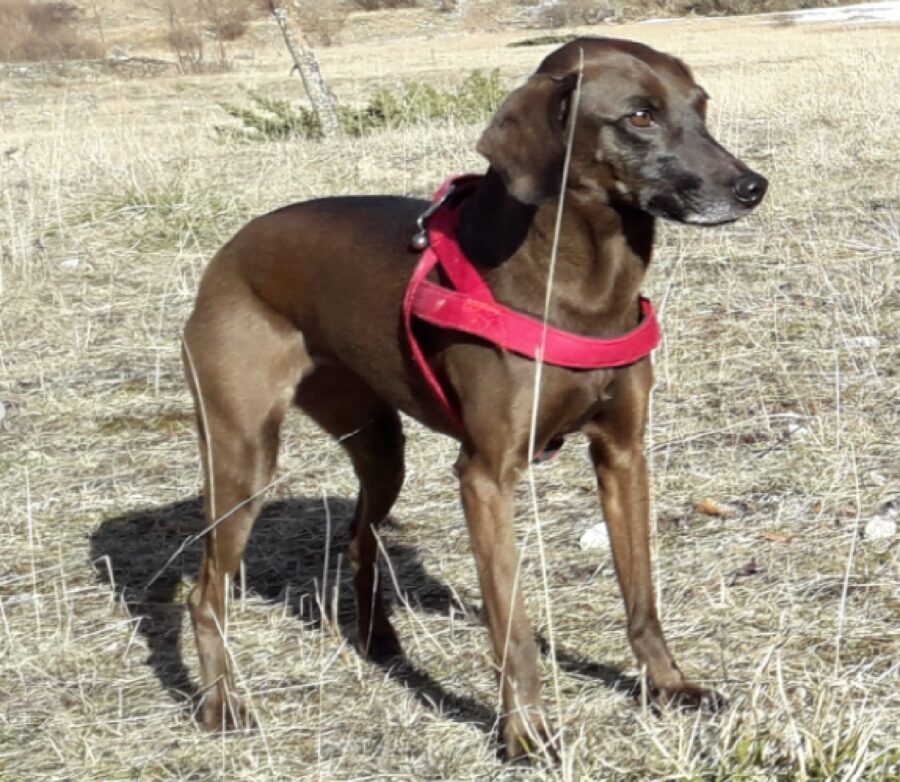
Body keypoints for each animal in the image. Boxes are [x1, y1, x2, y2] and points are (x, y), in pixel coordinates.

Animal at [181, 36, 768, 760]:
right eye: (638, 115)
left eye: (700, 105)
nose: (752, 186)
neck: (578, 281)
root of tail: (229, 251)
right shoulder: (486, 476)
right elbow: (512, 626)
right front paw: (527, 733)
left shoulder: (624, 454)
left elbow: (641, 596)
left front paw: (668, 686)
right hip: (242, 460)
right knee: (205, 592)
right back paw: (222, 706)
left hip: (380, 447)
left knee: (358, 539)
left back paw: (378, 640)